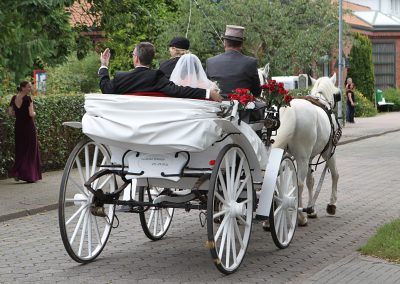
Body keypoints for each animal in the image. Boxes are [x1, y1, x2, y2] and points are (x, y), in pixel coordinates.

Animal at [270, 74, 340, 225]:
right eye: (337, 94)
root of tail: (289, 109)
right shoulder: (329, 152)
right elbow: (335, 174)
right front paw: (331, 205)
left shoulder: (310, 157)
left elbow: (310, 181)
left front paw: (311, 210)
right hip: (302, 157)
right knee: (299, 184)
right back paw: (301, 217)